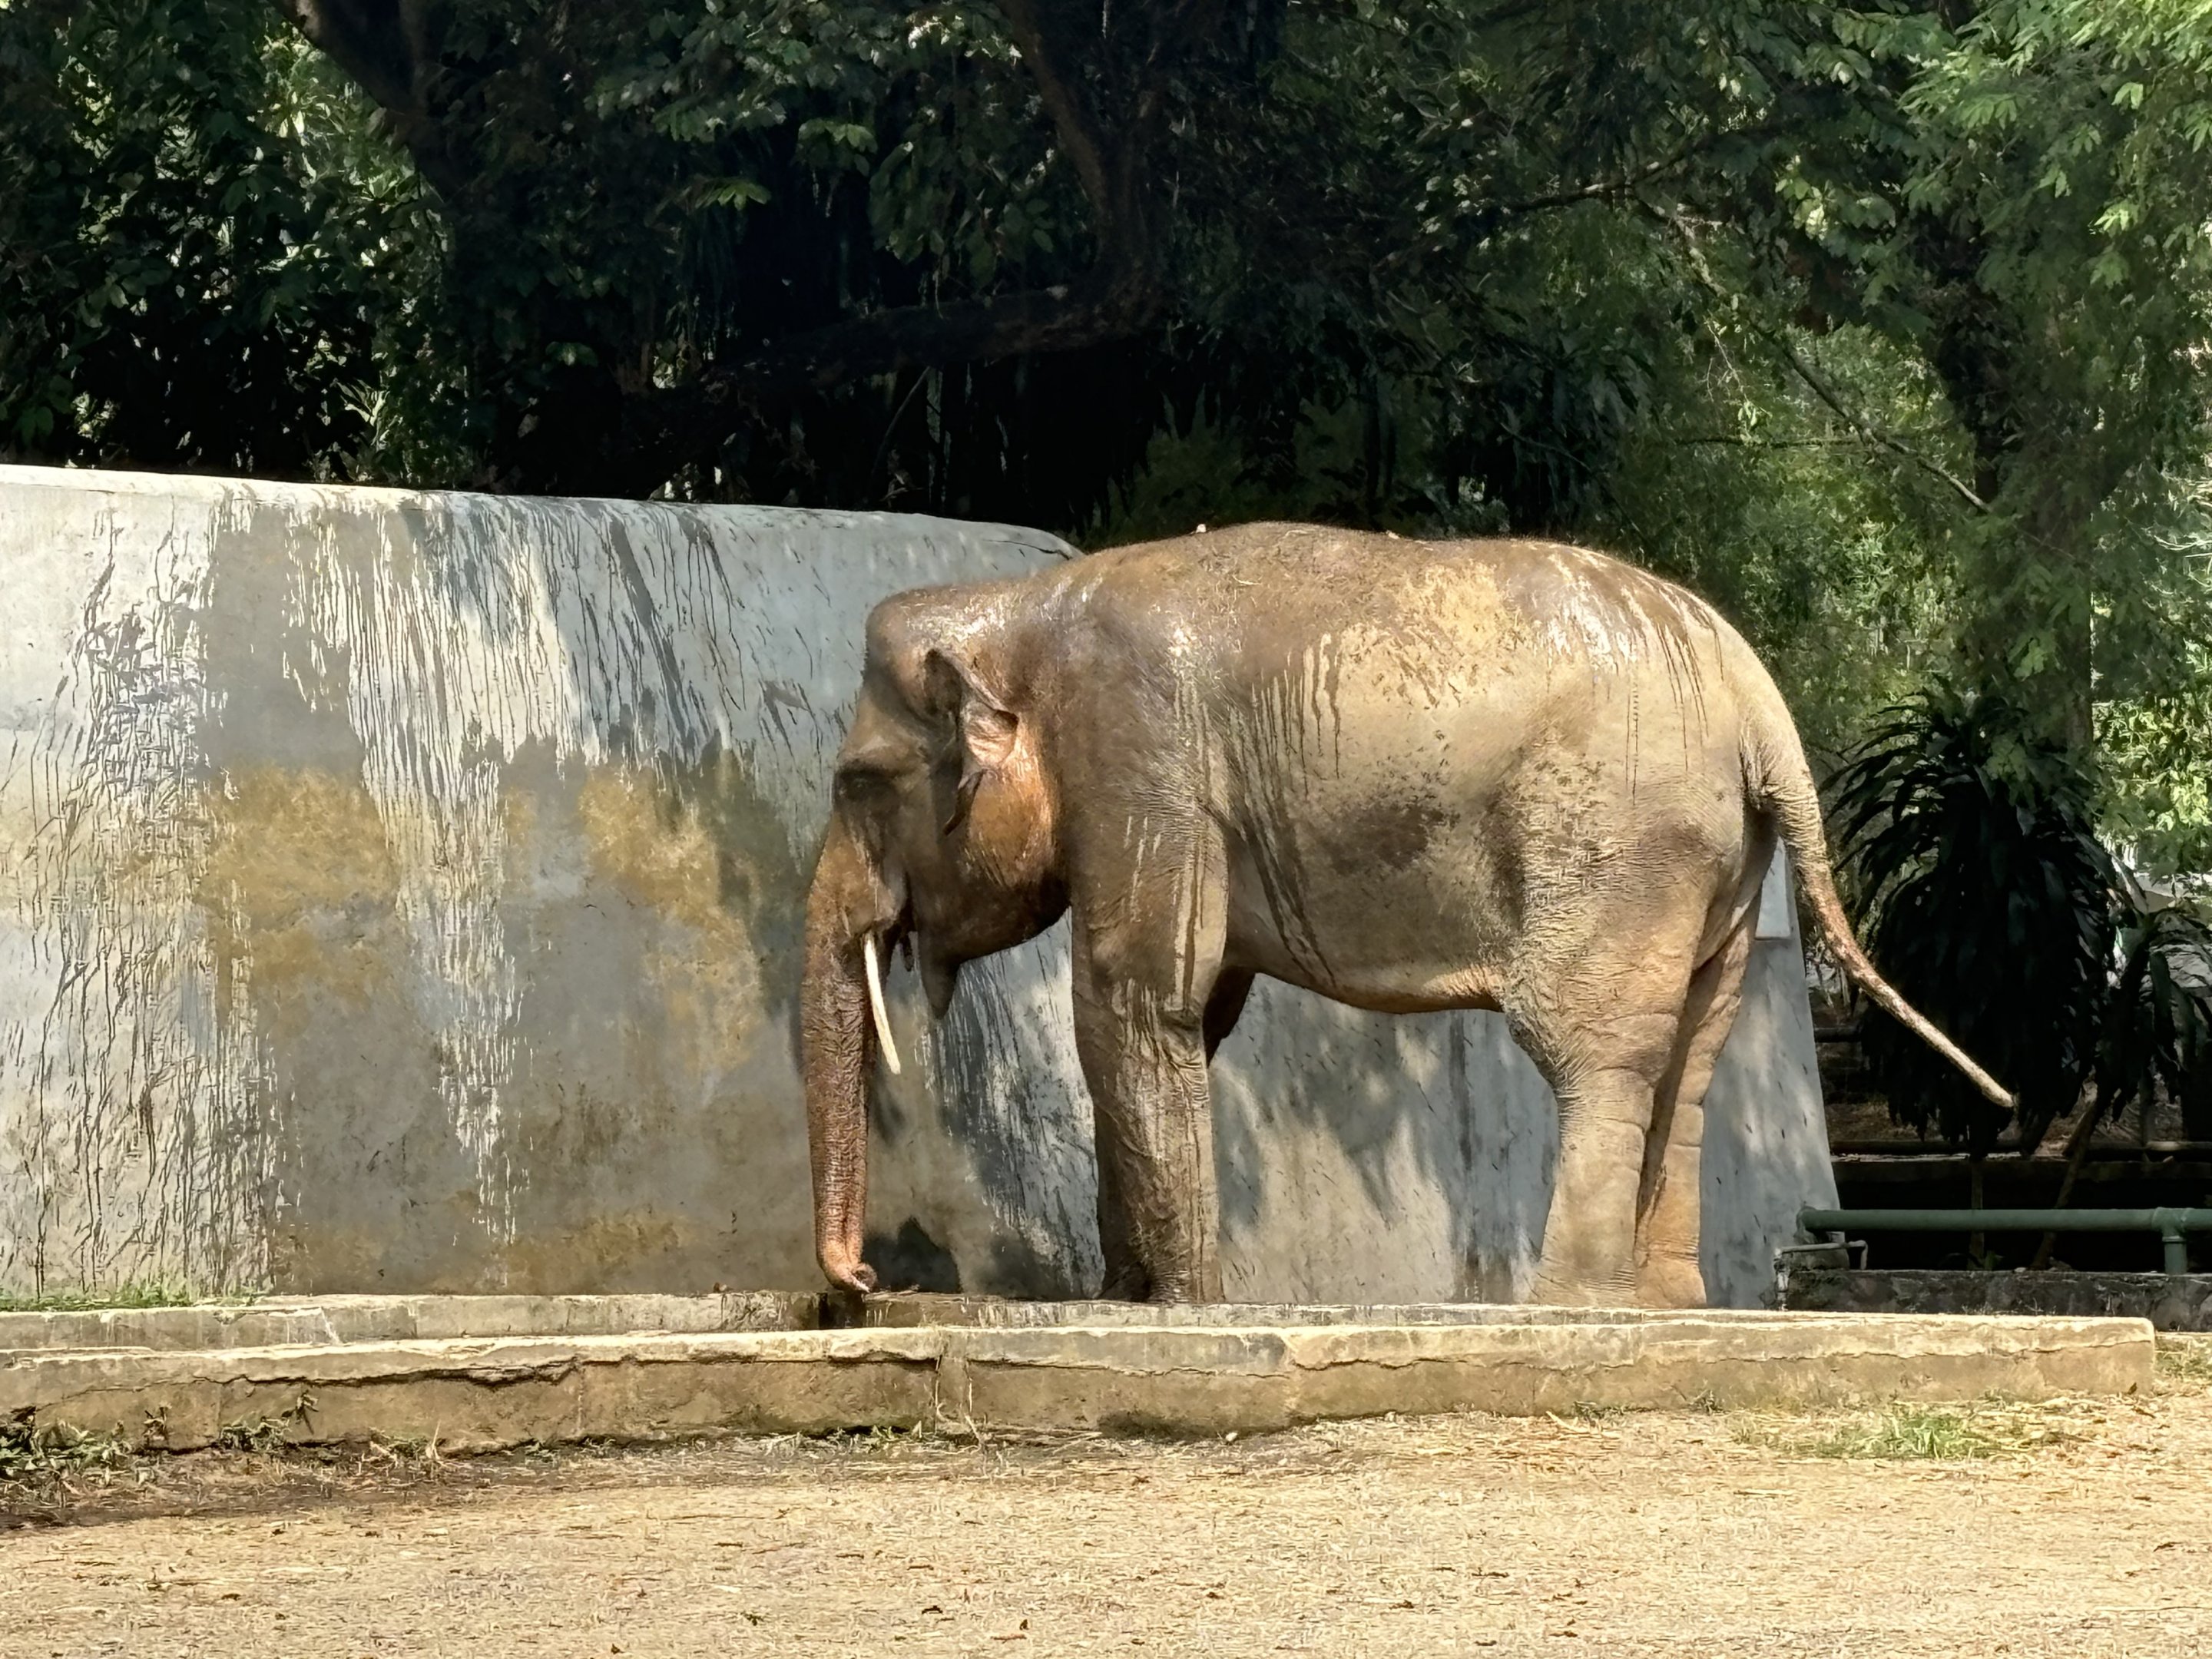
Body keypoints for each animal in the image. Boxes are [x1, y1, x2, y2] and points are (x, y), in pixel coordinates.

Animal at [799, 522, 2007, 1306]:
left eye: (855, 783)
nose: (863, 1280)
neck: (1020, 608)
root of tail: (1761, 703)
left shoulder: (1140, 760)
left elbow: (1137, 1005)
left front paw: (1177, 1307)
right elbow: (1191, 1012)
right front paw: (1124, 1301)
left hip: (1622, 845)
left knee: (1596, 1051)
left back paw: (1568, 1309)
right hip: (1724, 865)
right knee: (1694, 1056)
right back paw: (1665, 1309)